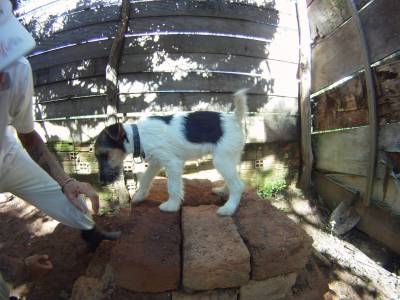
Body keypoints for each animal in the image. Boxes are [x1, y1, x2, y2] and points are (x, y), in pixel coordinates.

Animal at [95, 89, 248, 216]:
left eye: (103, 155)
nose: (101, 182)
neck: (138, 136)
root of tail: (234, 118)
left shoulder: (172, 164)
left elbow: (173, 187)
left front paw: (172, 206)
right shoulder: (155, 163)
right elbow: (145, 179)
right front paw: (139, 196)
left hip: (222, 160)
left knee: (238, 185)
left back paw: (229, 208)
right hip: (230, 158)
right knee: (233, 178)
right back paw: (223, 190)